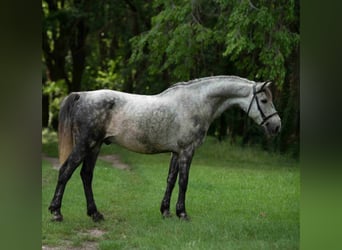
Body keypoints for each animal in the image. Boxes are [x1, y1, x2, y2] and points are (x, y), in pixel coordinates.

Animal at [48, 75, 280, 222]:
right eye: (263, 100)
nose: (276, 126)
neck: (195, 102)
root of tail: (82, 95)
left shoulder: (176, 153)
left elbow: (170, 180)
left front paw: (166, 211)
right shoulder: (187, 151)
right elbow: (184, 182)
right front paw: (182, 213)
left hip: (95, 147)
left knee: (86, 176)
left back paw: (95, 214)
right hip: (85, 144)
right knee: (65, 171)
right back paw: (56, 213)